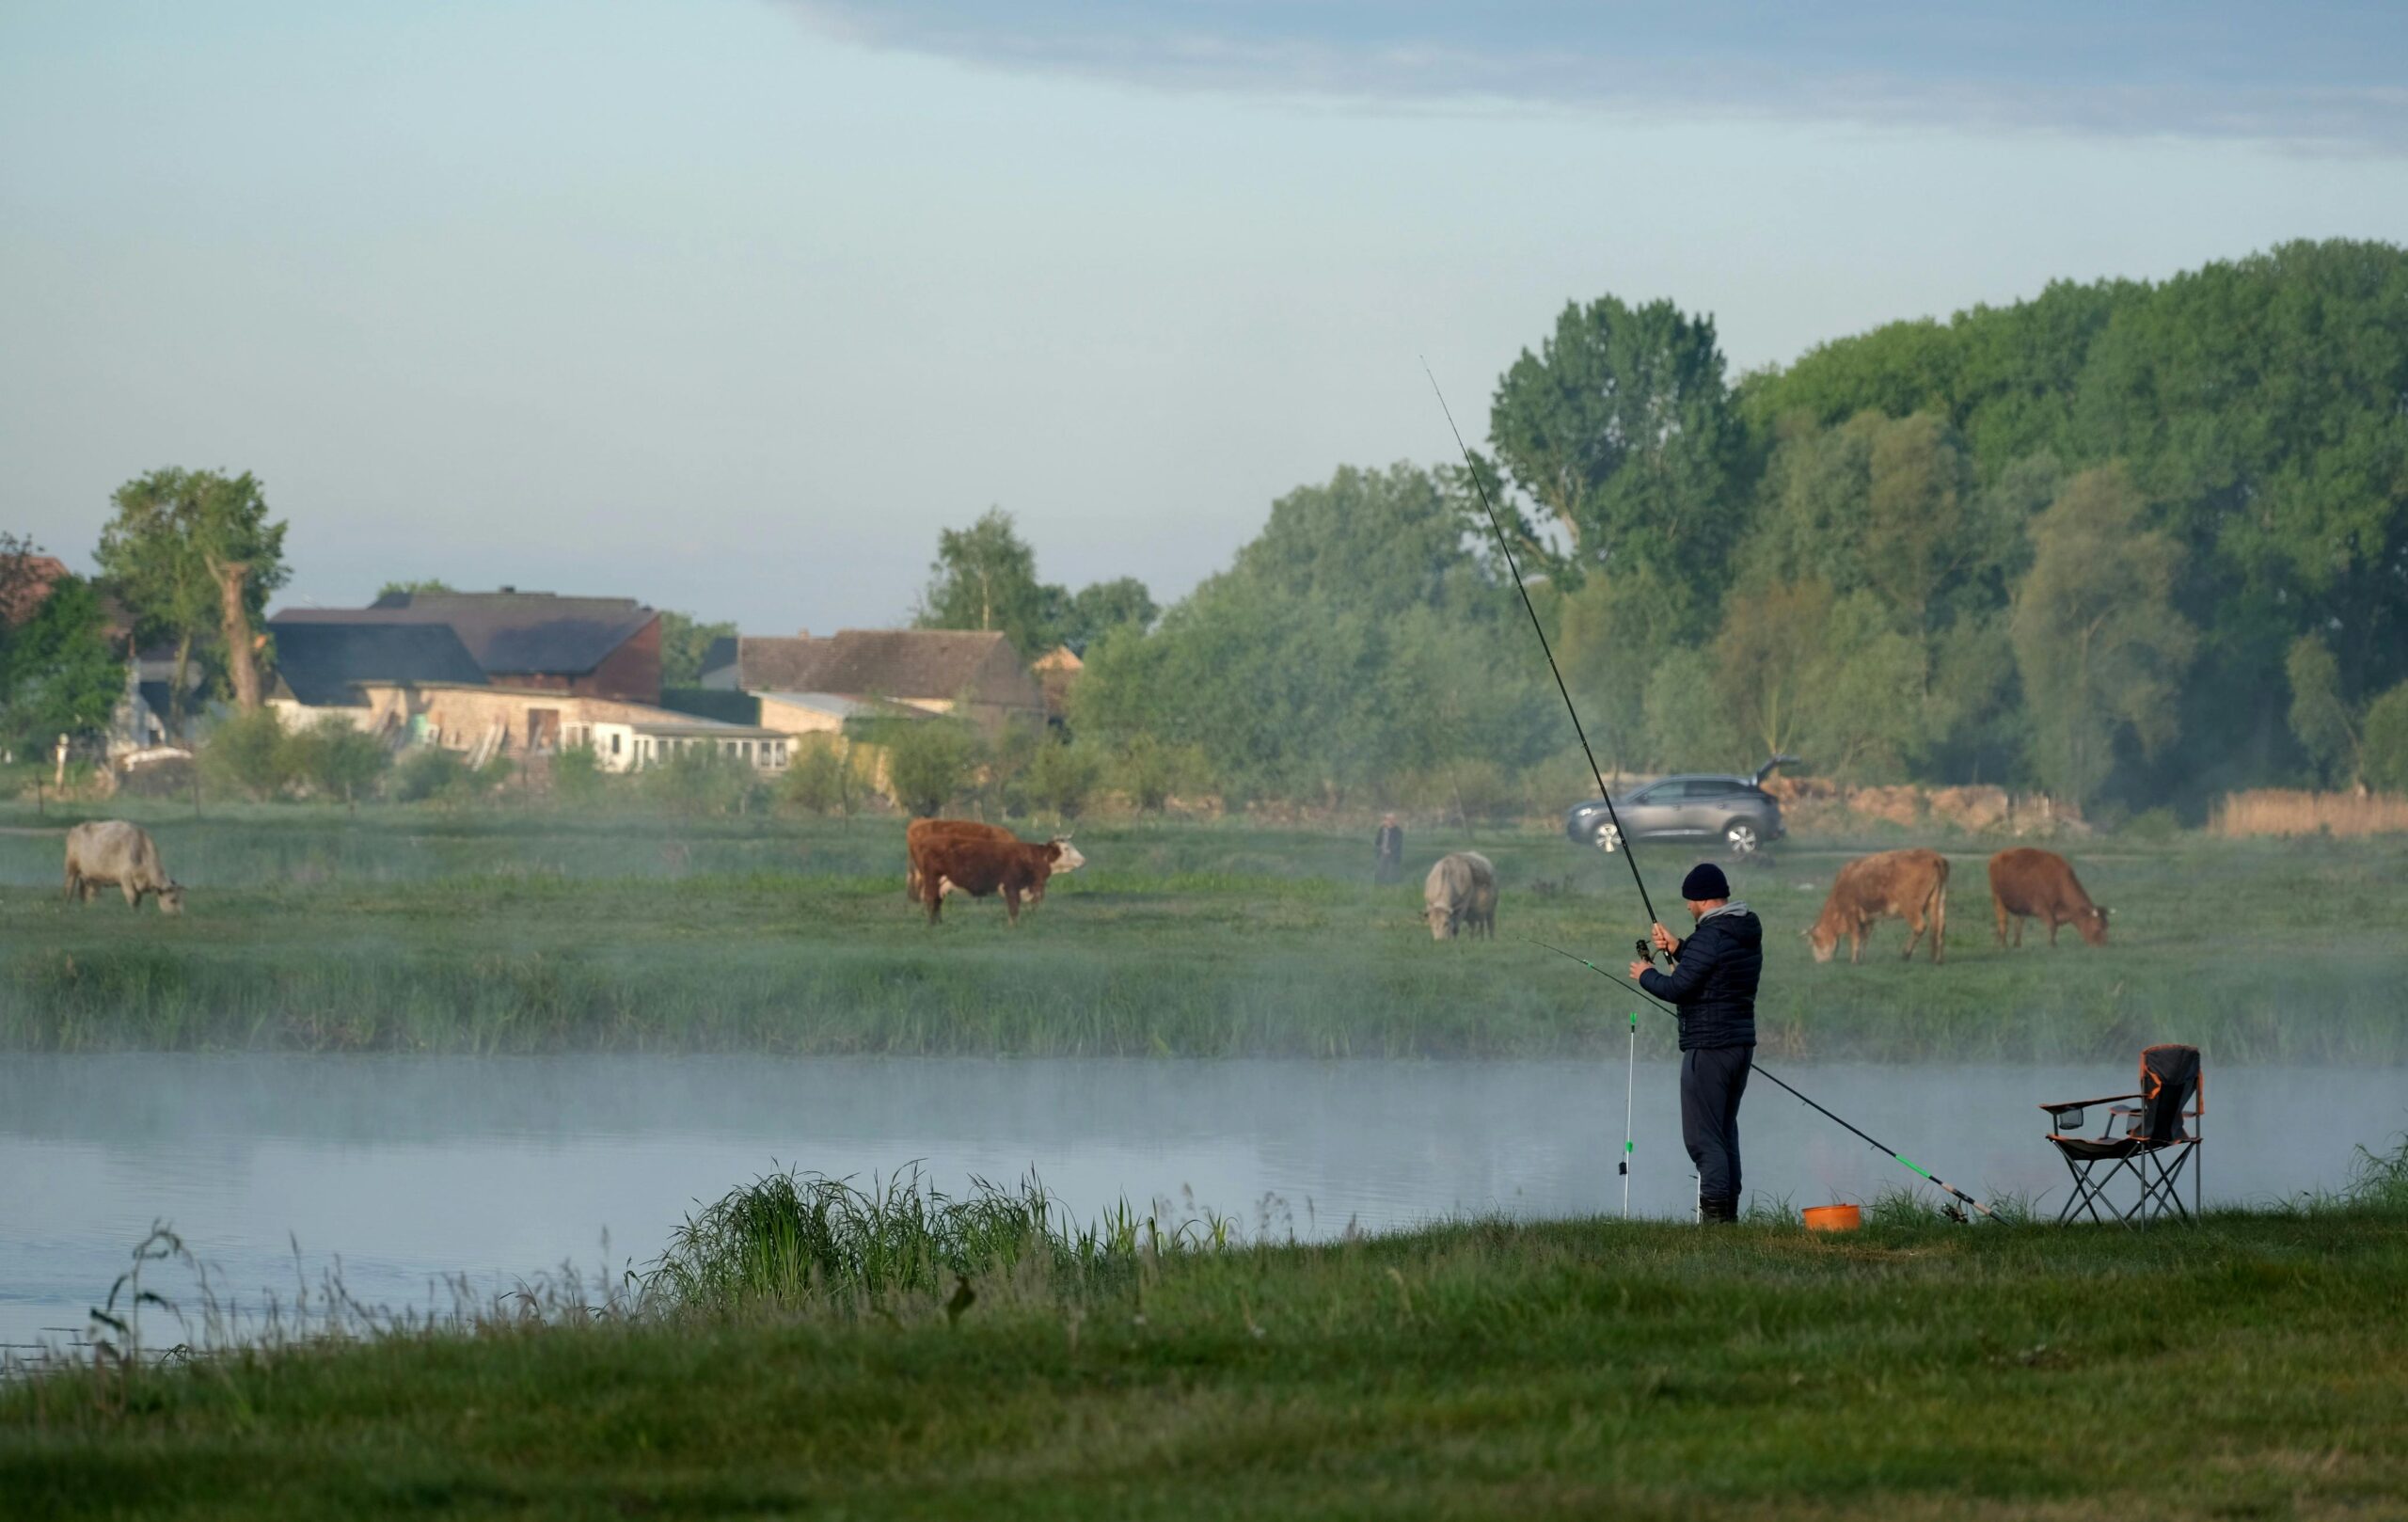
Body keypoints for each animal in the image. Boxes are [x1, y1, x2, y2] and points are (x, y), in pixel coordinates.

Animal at [63, 820, 184, 915]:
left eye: (180, 898)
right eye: (172, 900)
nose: (179, 915)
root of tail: (77, 828)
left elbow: (138, 900)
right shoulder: (126, 880)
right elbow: (132, 898)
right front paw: (133, 913)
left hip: (92, 878)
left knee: (87, 895)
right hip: (71, 870)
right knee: (69, 889)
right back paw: (67, 907)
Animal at [909, 832, 1087, 925]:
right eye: (1066, 848)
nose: (1084, 860)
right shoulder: (1011, 887)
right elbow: (1014, 909)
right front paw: (1013, 926)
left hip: (942, 883)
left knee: (937, 902)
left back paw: (939, 923)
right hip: (932, 880)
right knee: (931, 901)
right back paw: (932, 924)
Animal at [1807, 848, 1947, 965]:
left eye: (1815, 940)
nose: (1818, 961)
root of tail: (1934, 856)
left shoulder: (1851, 912)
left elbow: (1855, 936)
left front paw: (1854, 960)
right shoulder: (1868, 918)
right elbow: (1865, 937)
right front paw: (1862, 958)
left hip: (1910, 906)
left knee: (1920, 927)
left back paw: (1906, 954)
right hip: (1938, 901)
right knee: (1939, 927)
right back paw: (1937, 959)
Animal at [1988, 848, 2108, 948]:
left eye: (2107, 925)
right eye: (2098, 926)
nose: (2103, 944)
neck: (2059, 882)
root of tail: (1997, 856)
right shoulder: (2044, 909)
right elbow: (2052, 926)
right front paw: (2052, 945)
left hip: (2019, 905)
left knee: (2018, 922)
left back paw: (2017, 944)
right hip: (1998, 899)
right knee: (2003, 921)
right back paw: (2004, 945)